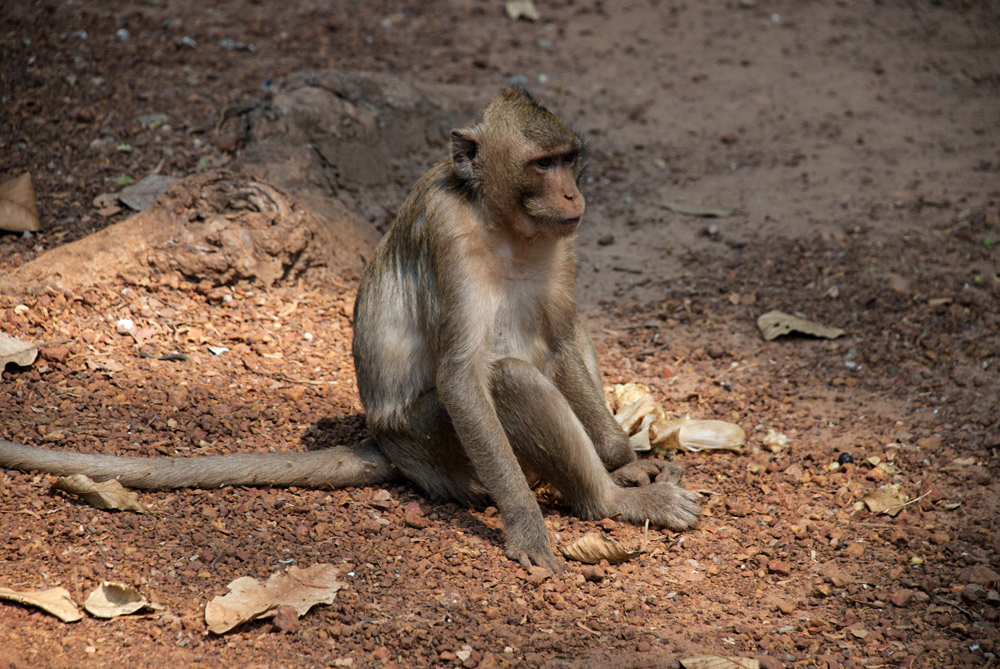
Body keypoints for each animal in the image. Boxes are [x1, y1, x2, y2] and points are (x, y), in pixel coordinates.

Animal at [0, 87, 700, 568]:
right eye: (542, 163)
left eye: (570, 160)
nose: (574, 195)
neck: (501, 219)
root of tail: (386, 444)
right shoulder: (449, 231)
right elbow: (464, 377)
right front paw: (530, 526)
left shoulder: (564, 241)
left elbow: (563, 337)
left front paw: (623, 459)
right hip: (436, 445)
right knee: (507, 380)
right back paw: (608, 504)